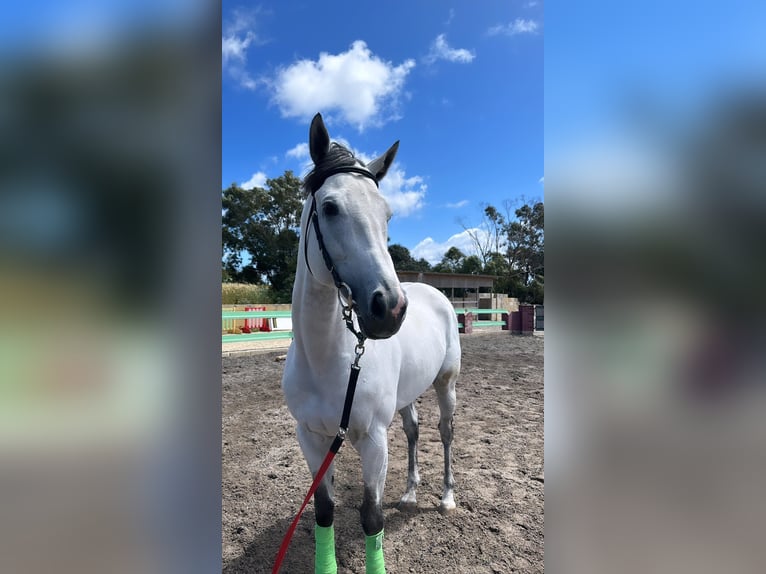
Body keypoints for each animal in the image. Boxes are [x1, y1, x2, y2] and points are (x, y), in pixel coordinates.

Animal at [282, 115, 462, 572]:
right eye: (330, 207)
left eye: (388, 214)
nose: (391, 308)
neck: (327, 361)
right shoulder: (311, 439)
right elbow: (323, 511)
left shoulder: (374, 440)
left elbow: (371, 518)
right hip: (407, 395)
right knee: (415, 432)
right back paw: (411, 493)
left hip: (446, 385)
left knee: (445, 432)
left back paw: (446, 497)